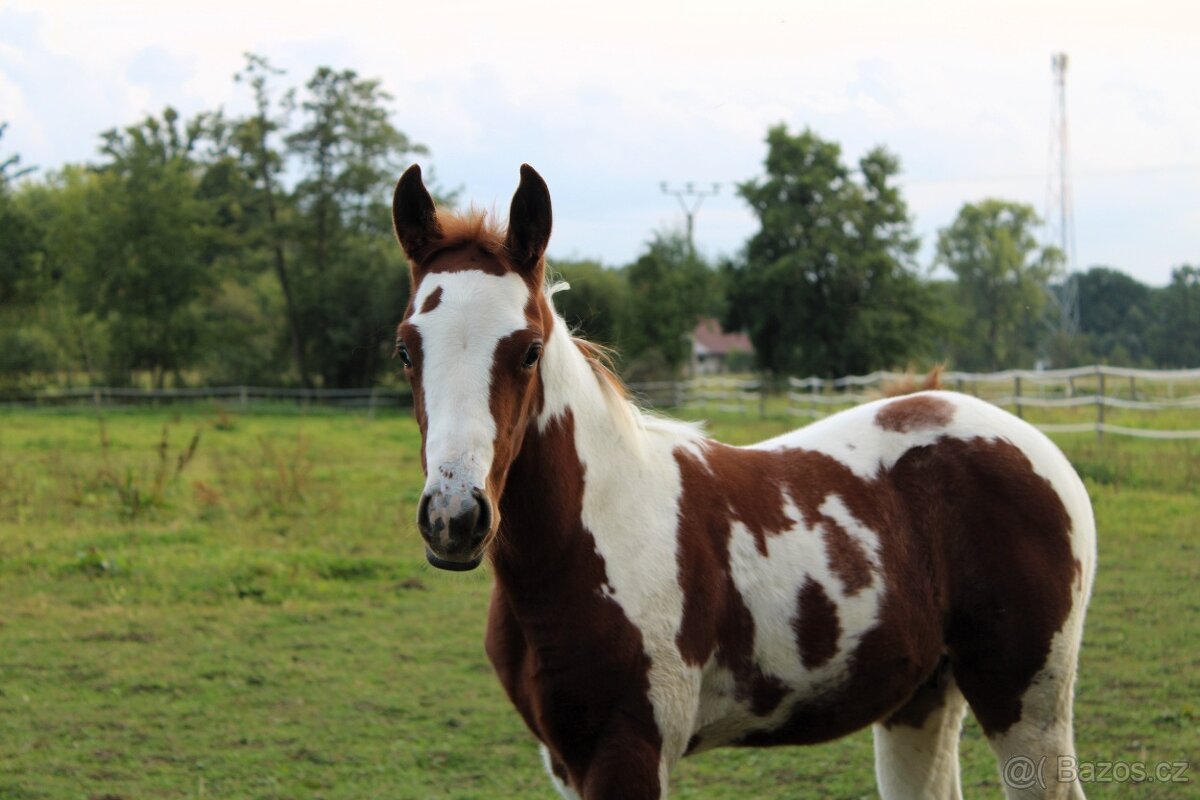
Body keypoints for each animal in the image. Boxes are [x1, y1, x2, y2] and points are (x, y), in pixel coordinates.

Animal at [390, 163, 1096, 800]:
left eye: (530, 350)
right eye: (404, 350)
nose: (453, 518)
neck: (595, 540)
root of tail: (1034, 446)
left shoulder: (629, 752)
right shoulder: (566, 762)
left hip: (1025, 700)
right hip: (920, 697)